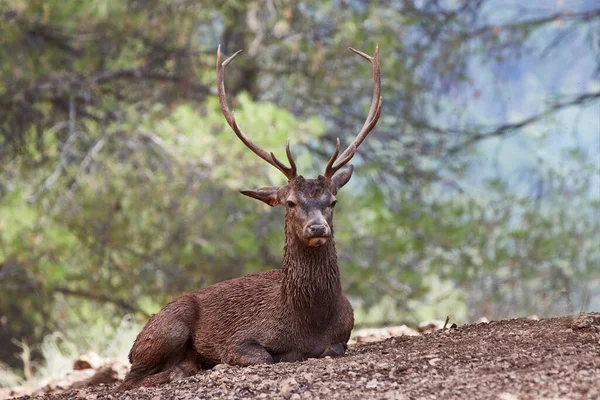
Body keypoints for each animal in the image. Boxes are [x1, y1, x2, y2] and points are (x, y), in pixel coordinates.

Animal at [119, 44, 382, 390]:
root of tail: (133, 346)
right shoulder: (238, 339)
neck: (309, 322)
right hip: (167, 328)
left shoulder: (344, 335)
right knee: (131, 378)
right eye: (291, 203)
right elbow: (264, 357)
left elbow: (333, 349)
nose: (317, 227)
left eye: (333, 201)